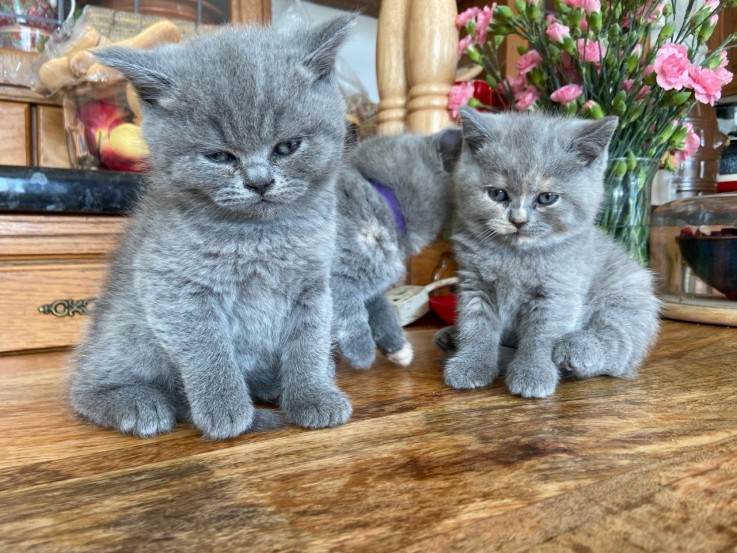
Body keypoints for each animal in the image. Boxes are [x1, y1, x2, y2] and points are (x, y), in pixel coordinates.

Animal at [70, 17, 356, 438]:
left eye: (287, 147)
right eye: (219, 157)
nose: (259, 182)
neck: (260, 236)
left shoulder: (313, 285)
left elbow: (310, 342)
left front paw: (313, 394)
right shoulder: (172, 284)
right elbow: (208, 347)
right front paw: (225, 408)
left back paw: (271, 385)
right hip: (127, 329)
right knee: (84, 385)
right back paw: (138, 404)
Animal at [442, 108, 660, 398]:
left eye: (546, 198)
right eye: (498, 194)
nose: (518, 220)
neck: (515, 255)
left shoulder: (558, 292)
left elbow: (541, 335)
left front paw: (532, 372)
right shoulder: (475, 284)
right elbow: (476, 326)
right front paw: (472, 363)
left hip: (627, 293)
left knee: (619, 343)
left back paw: (575, 350)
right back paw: (451, 338)